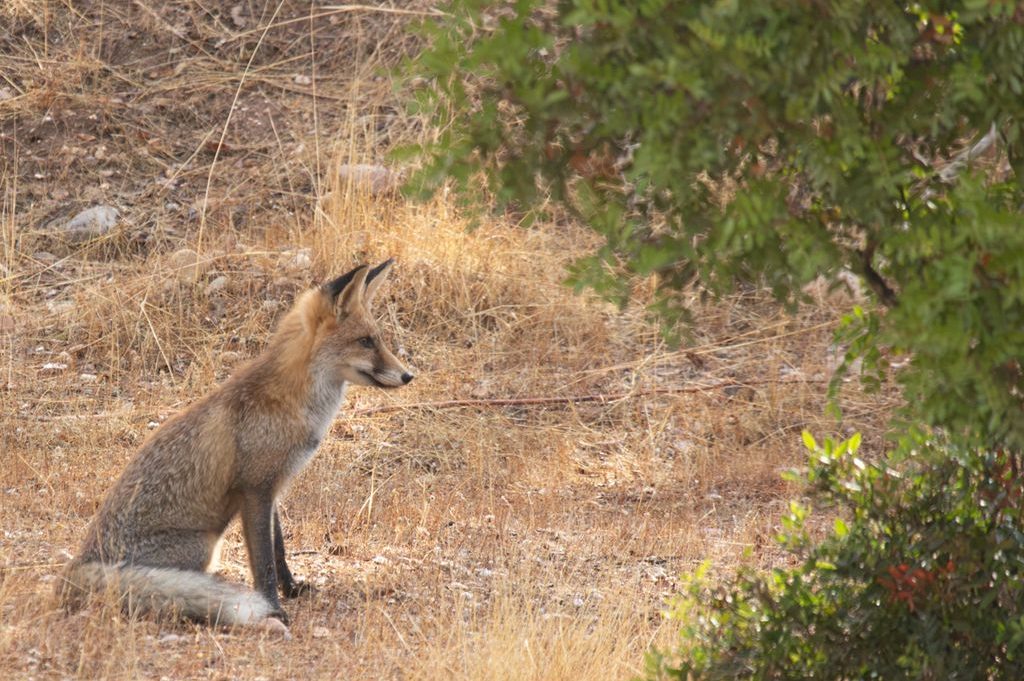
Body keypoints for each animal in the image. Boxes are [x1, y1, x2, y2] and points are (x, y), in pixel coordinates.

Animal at [56, 259, 413, 635]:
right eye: (365, 342)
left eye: (377, 340)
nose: (408, 376)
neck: (293, 402)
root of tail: (78, 566)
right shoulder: (254, 490)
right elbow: (263, 562)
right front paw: (274, 608)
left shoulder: (272, 488)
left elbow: (278, 550)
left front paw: (292, 589)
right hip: (202, 545)